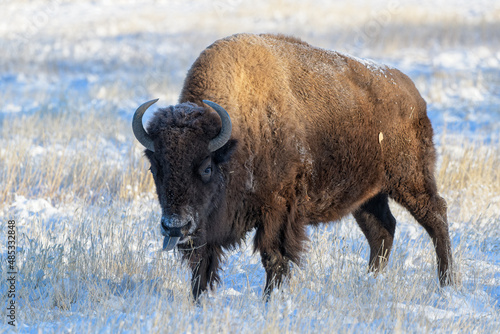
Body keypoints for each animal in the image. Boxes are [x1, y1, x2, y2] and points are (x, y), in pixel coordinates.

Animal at [132, 33, 454, 300]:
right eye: (155, 168)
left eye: (207, 168)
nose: (175, 226)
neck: (237, 136)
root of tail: (413, 95)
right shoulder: (206, 229)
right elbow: (203, 264)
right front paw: (198, 301)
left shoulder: (278, 210)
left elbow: (274, 256)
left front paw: (270, 300)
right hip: (367, 197)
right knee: (382, 231)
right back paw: (371, 281)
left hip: (410, 180)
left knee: (436, 216)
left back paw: (447, 282)